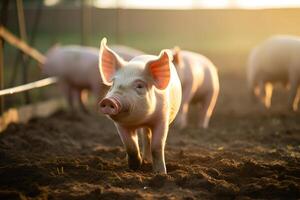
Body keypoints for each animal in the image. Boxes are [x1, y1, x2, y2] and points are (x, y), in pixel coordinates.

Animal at [99, 38, 183, 173]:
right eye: (113, 83)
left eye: (139, 86)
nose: (109, 100)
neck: (141, 120)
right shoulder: (120, 125)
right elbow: (130, 147)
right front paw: (134, 168)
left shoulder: (162, 119)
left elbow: (157, 146)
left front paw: (161, 173)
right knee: (145, 138)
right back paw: (145, 161)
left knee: (147, 138)